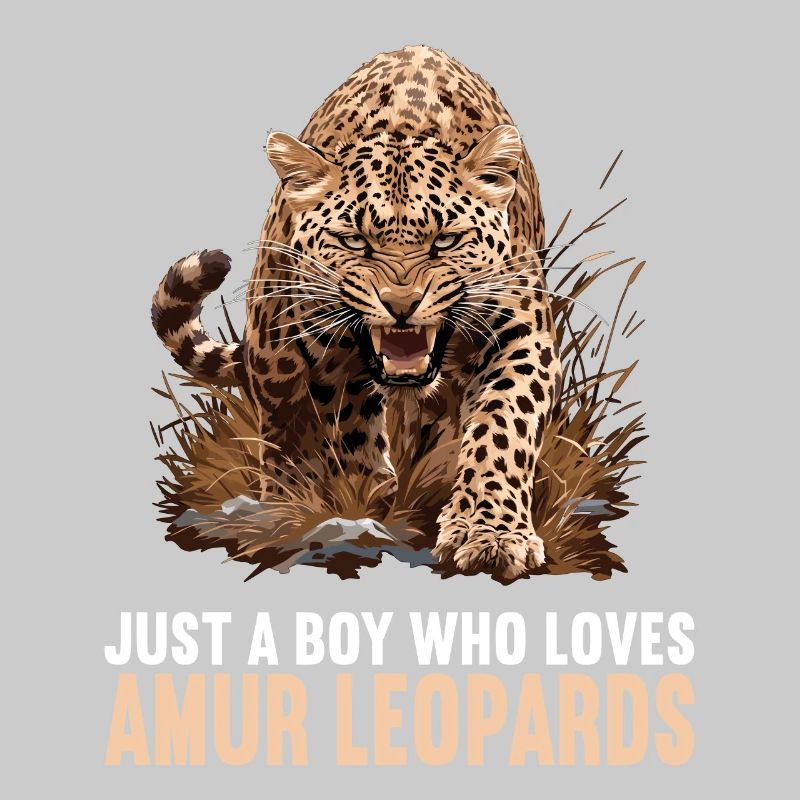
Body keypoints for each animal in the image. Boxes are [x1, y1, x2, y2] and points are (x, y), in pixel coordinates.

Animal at [151, 45, 562, 580]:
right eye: (353, 241)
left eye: (447, 240)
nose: (402, 304)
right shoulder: (312, 356)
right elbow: (331, 431)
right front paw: (348, 505)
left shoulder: (520, 334)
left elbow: (501, 427)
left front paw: (489, 533)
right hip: (273, 342)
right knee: (287, 424)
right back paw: (294, 500)